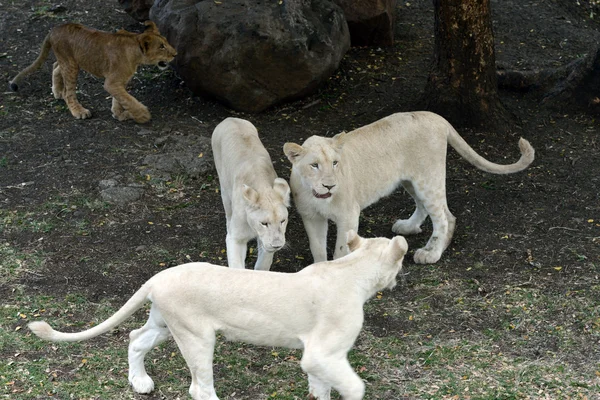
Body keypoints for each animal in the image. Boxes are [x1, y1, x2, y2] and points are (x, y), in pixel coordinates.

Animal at [30, 231, 410, 400]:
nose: (398, 278)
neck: (351, 269)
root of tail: (159, 276)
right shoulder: (323, 353)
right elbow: (354, 386)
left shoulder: (317, 357)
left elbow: (320, 387)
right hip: (197, 336)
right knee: (199, 388)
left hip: (165, 324)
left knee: (136, 339)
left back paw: (140, 382)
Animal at [212, 117, 290, 270]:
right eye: (264, 223)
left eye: (283, 221)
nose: (277, 245)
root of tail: (230, 118)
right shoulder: (235, 238)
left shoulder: (265, 242)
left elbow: (263, 263)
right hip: (224, 189)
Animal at [284, 111, 536, 264]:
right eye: (314, 165)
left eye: (335, 163)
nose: (330, 184)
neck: (317, 195)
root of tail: (435, 117)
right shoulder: (310, 217)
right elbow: (317, 248)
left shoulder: (348, 215)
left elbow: (340, 251)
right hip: (411, 180)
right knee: (428, 209)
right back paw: (409, 227)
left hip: (428, 179)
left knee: (445, 217)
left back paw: (432, 253)